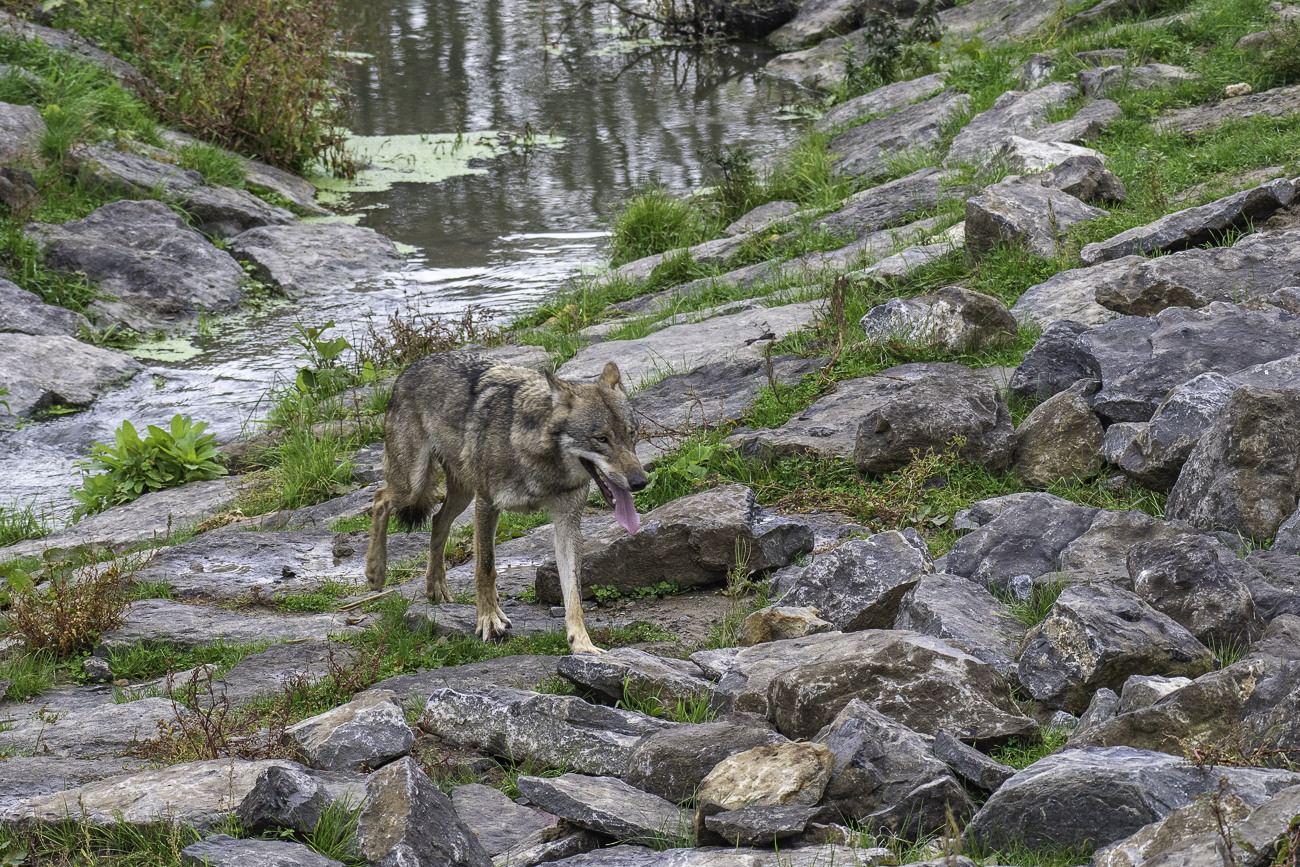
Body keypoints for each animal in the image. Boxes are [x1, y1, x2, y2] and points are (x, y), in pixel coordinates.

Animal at [364, 349, 647, 654]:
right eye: (602, 439)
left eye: (631, 433)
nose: (640, 482)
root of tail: (412, 367)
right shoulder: (488, 504)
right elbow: (485, 568)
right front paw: (489, 621)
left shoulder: (567, 524)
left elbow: (574, 591)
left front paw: (582, 643)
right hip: (414, 486)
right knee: (380, 498)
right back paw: (375, 573)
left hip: (462, 493)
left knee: (438, 520)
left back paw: (436, 586)